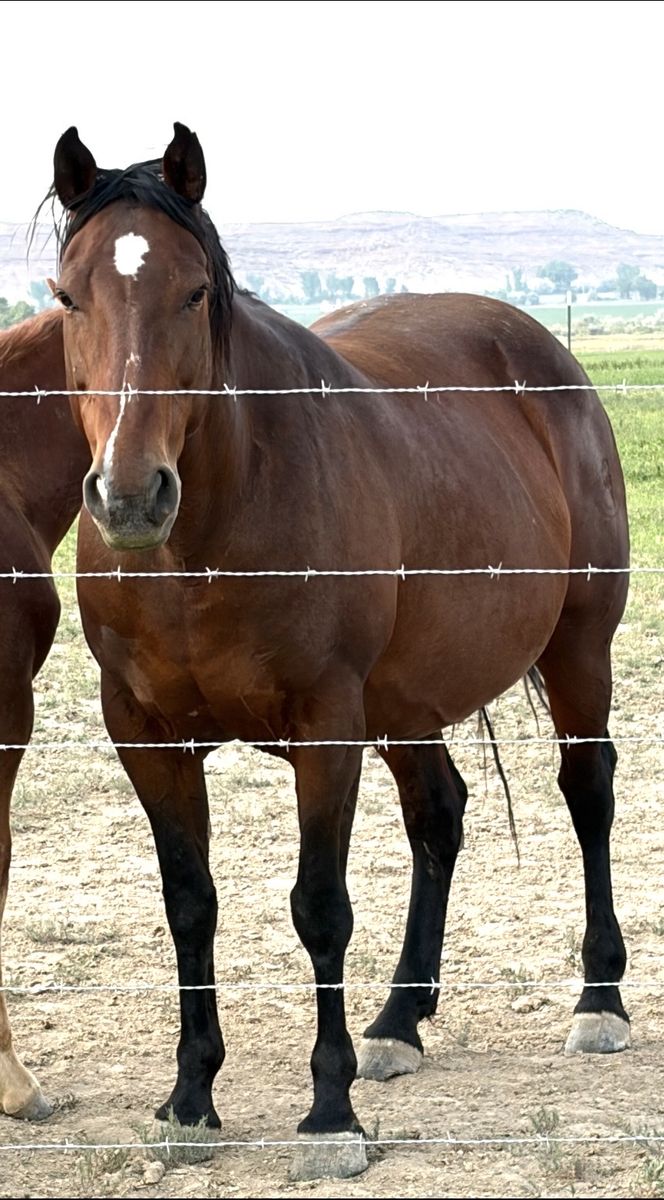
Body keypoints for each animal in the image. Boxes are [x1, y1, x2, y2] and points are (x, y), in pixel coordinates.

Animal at [47, 123, 630, 1178]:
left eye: (194, 291)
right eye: (70, 295)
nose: (130, 495)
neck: (208, 540)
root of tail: (542, 358)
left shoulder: (326, 727)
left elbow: (319, 906)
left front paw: (329, 1115)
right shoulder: (145, 735)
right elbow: (189, 903)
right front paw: (191, 1098)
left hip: (578, 651)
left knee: (587, 792)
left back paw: (599, 1000)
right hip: (405, 704)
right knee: (440, 815)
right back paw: (398, 1021)